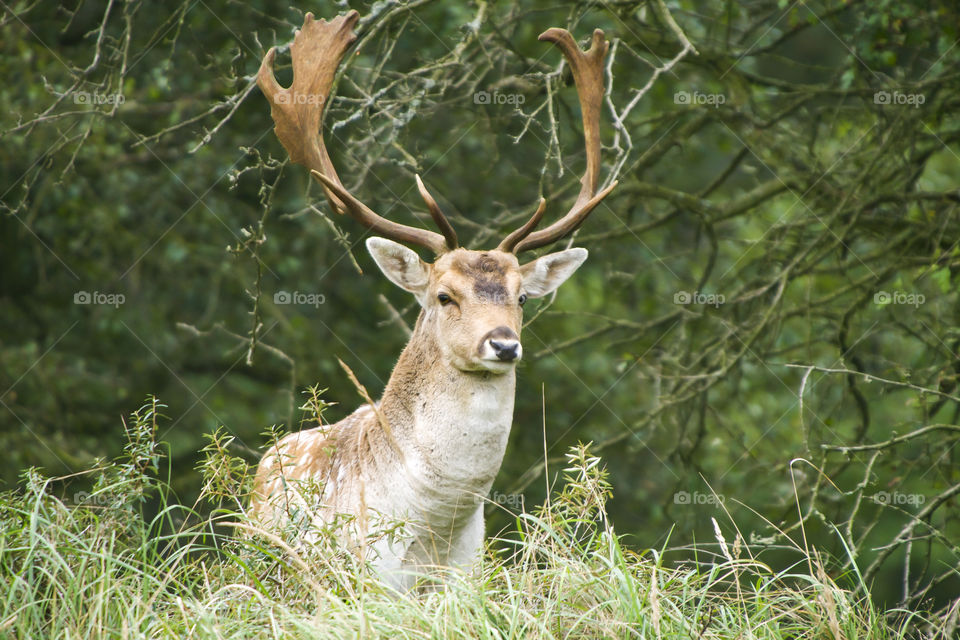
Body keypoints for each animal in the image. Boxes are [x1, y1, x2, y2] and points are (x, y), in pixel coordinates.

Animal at [251, 10, 616, 592]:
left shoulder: (468, 581)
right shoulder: (359, 581)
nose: (503, 344)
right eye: (445, 295)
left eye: (522, 298)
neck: (432, 537)